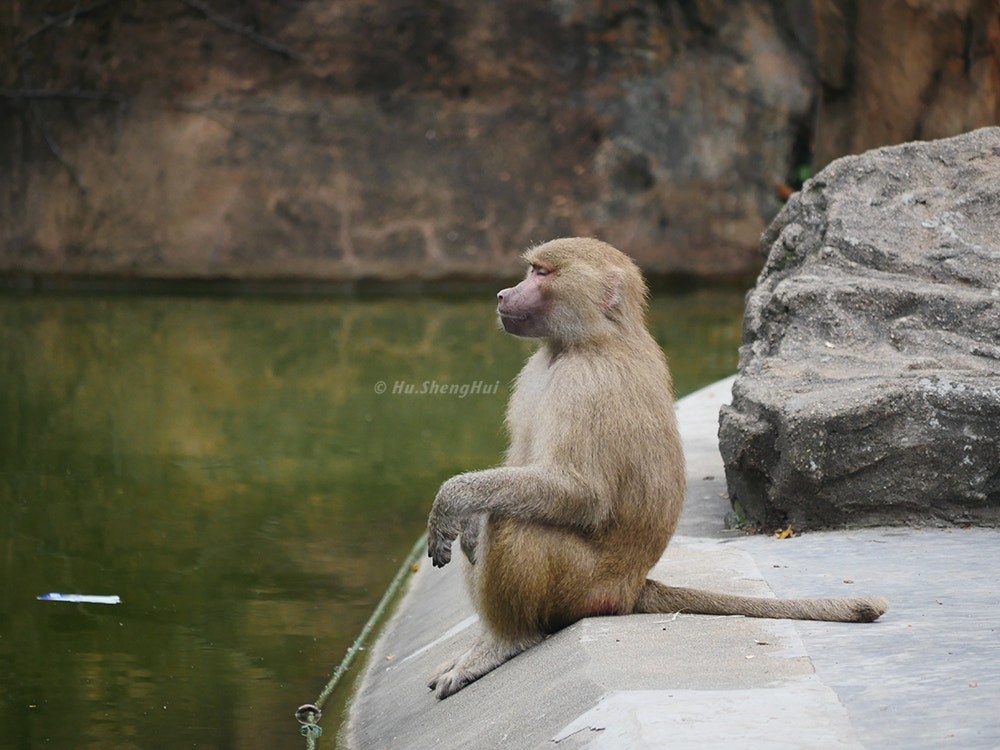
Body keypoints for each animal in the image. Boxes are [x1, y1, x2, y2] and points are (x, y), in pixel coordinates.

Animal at [426, 238, 888, 699]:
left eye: (542, 273)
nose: (503, 295)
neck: (590, 338)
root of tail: (631, 588)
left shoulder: (587, 384)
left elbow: (582, 495)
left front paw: (454, 499)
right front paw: (465, 517)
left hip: (581, 586)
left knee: (513, 522)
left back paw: (504, 642)